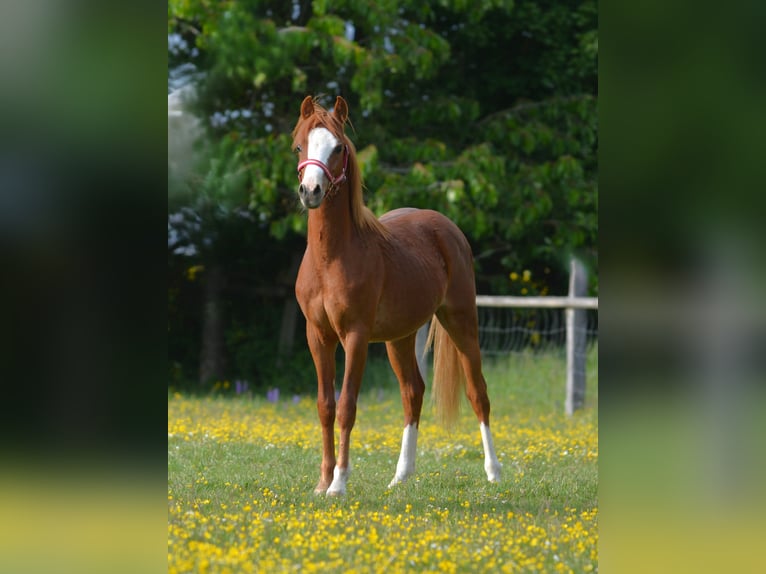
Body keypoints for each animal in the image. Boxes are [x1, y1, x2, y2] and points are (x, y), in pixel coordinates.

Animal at [292, 95, 502, 496]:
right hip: (399, 338)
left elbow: (347, 406)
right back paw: (401, 474)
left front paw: (339, 484)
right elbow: (325, 406)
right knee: (412, 392)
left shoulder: (355, 336)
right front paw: (322, 482)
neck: (331, 259)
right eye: (299, 146)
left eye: (338, 148)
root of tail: (446, 227)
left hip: (461, 321)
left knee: (478, 393)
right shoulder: (317, 336)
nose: (311, 191)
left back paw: (494, 471)